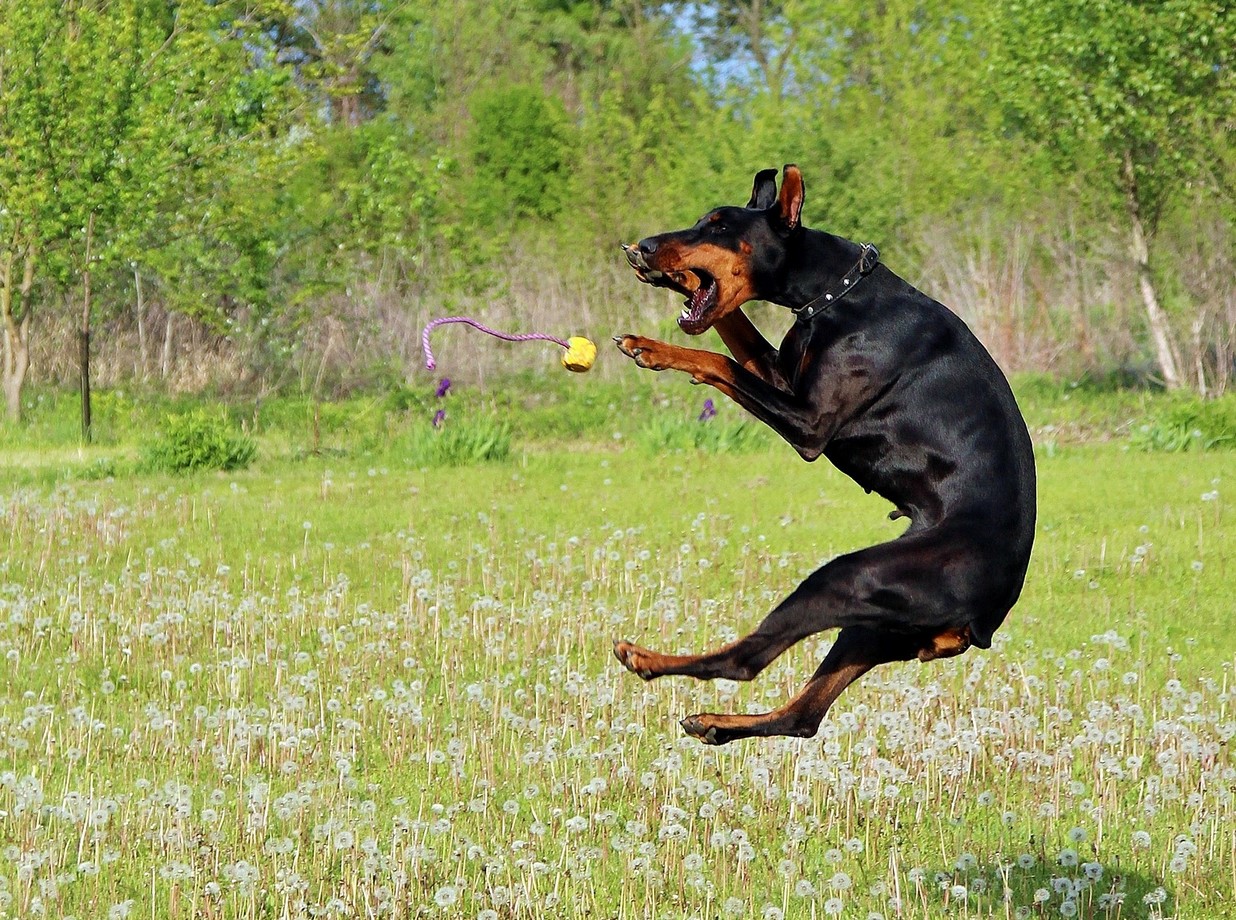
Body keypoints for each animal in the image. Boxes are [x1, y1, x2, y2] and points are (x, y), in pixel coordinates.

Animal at [615, 161, 1033, 741]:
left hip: (850, 577)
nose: (650, 246)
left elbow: (719, 362)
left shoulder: (809, 424)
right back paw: (714, 724)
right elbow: (735, 331)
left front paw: (651, 348)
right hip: (871, 626)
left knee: (746, 659)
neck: (834, 297)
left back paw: (647, 659)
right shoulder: (783, 377)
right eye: (698, 222)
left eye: (720, 227)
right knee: (803, 715)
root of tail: (980, 622)